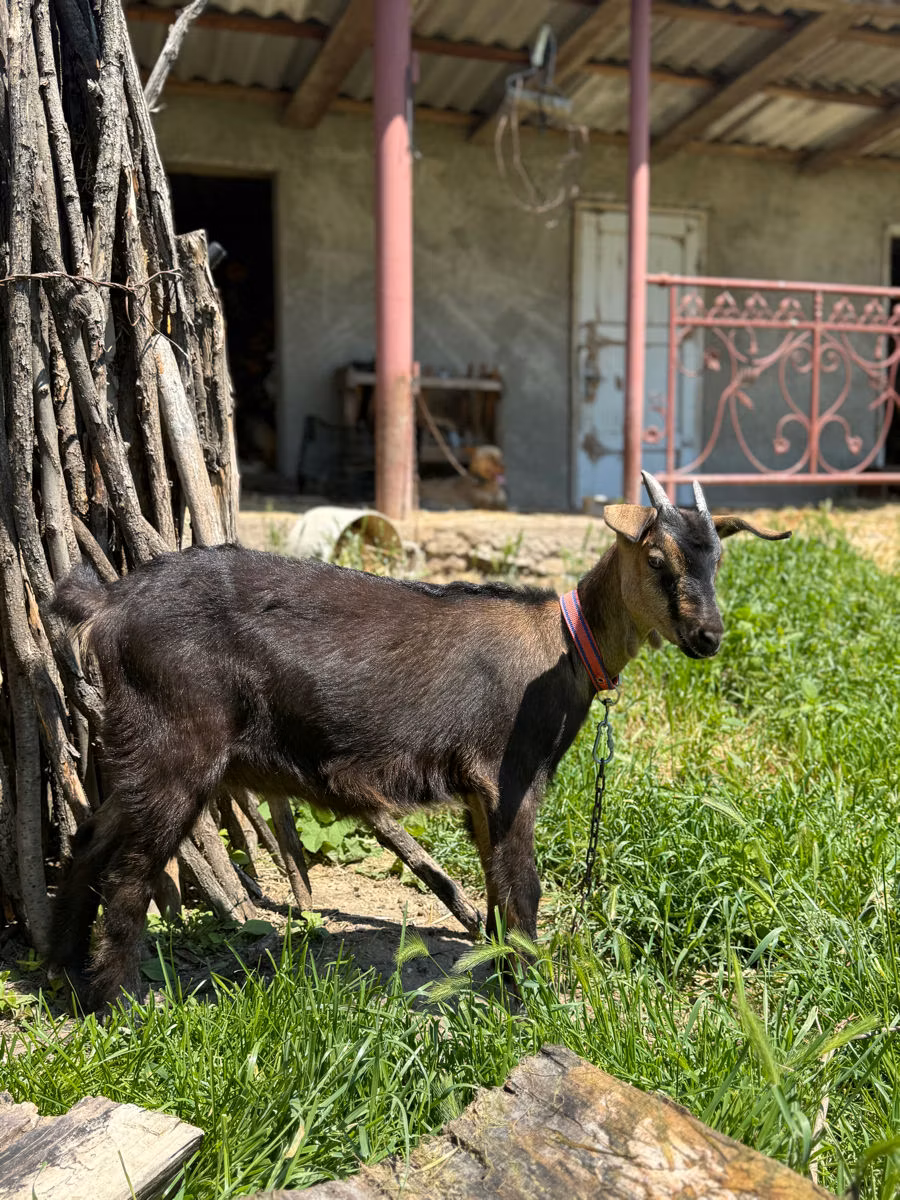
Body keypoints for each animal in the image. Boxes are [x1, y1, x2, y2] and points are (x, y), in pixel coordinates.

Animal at [49, 473, 789, 1010]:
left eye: (719, 559)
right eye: (658, 558)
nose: (708, 637)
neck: (565, 647)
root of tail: (110, 604)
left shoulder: (480, 797)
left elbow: (496, 888)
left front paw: (503, 980)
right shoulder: (507, 778)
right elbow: (524, 891)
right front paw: (536, 1000)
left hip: (138, 753)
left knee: (86, 843)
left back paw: (62, 971)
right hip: (175, 750)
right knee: (129, 872)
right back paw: (121, 1004)